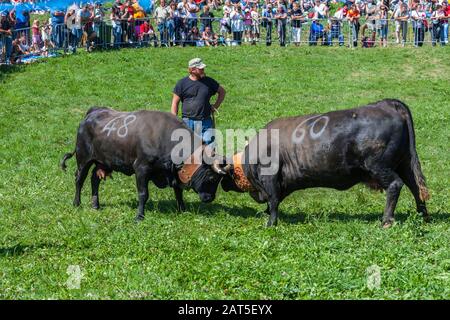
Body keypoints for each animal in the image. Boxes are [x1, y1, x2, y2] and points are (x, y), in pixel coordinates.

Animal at [60, 107, 229, 220]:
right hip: (83, 159)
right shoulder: (141, 169)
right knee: (79, 179)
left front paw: (182, 209)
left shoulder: (172, 172)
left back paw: (96, 204)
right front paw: (139, 216)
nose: (210, 198)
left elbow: (178, 191)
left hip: (103, 162)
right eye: (212, 177)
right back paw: (77, 203)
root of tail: (93, 112)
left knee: (95, 179)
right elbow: (143, 194)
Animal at [220, 99, 430, 226]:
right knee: (416, 187)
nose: (223, 184)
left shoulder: (269, 177)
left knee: (395, 185)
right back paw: (423, 216)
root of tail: (385, 104)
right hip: (405, 164)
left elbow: (273, 201)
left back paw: (387, 220)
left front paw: (271, 223)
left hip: (380, 167)